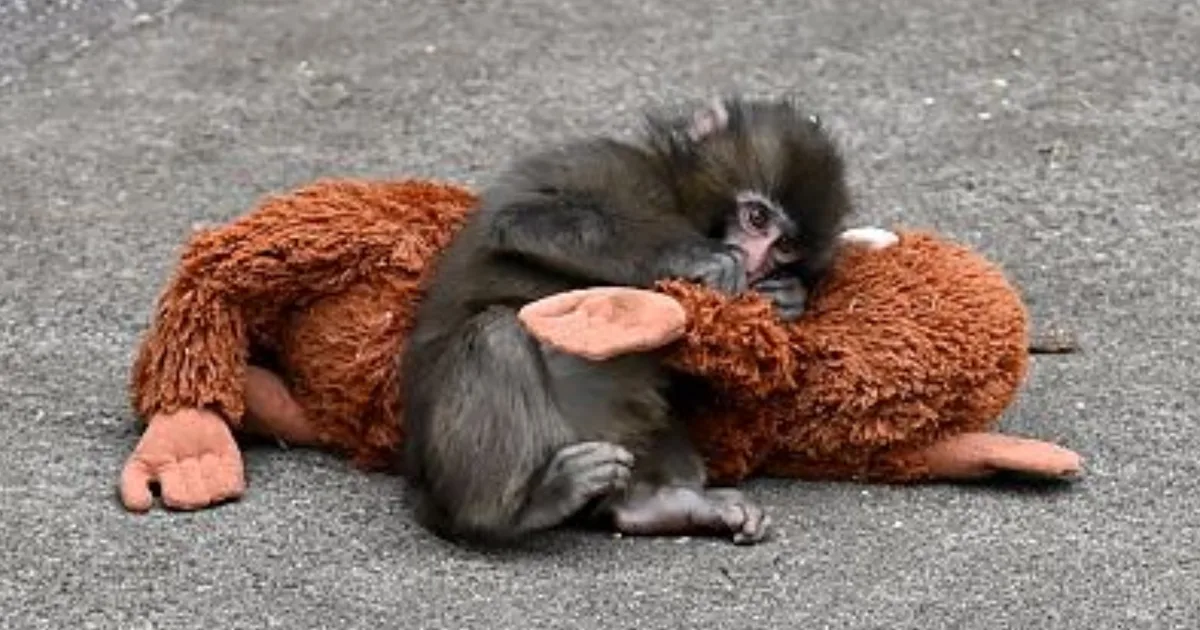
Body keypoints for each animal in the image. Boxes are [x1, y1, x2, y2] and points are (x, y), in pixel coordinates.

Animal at [399, 96, 853, 547]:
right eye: (756, 218)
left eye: (785, 246)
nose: (757, 263)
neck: (673, 196)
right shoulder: (605, 163)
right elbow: (521, 220)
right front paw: (695, 255)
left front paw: (789, 298)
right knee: (497, 337)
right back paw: (516, 510)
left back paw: (654, 505)